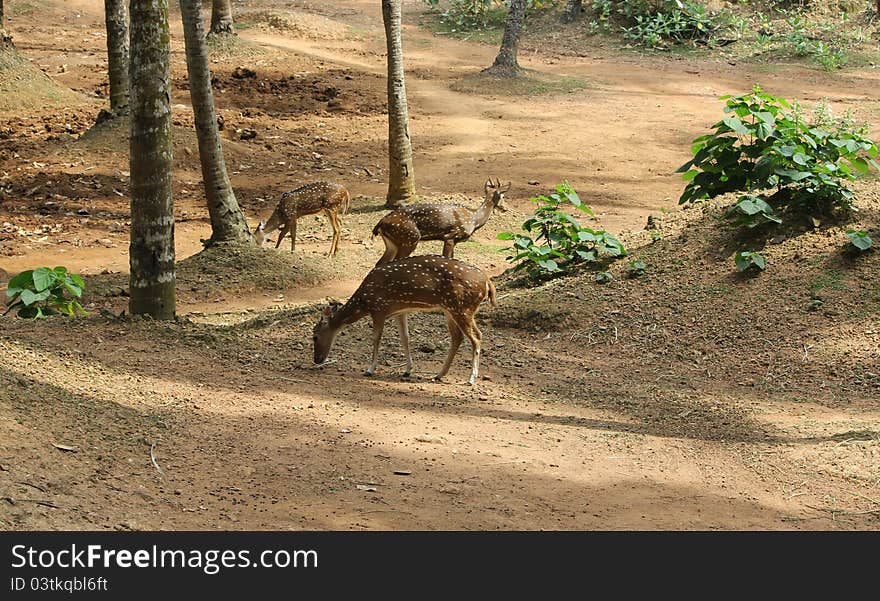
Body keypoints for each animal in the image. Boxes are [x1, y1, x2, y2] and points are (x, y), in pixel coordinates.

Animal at [314, 253, 496, 384]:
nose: (316, 360)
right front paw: (408, 370)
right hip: (450, 310)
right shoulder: (400, 312)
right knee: (457, 337)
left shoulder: (379, 308)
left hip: (462, 308)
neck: (363, 303)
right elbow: (405, 338)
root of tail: (487, 283)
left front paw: (370, 369)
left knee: (477, 336)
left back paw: (471, 378)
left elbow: (376, 338)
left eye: (315, 335)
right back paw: (438, 375)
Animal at [370, 176, 508, 264]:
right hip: (409, 238)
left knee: (380, 263)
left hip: (392, 243)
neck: (473, 220)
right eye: (502, 196)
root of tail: (380, 224)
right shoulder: (450, 236)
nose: (505, 208)